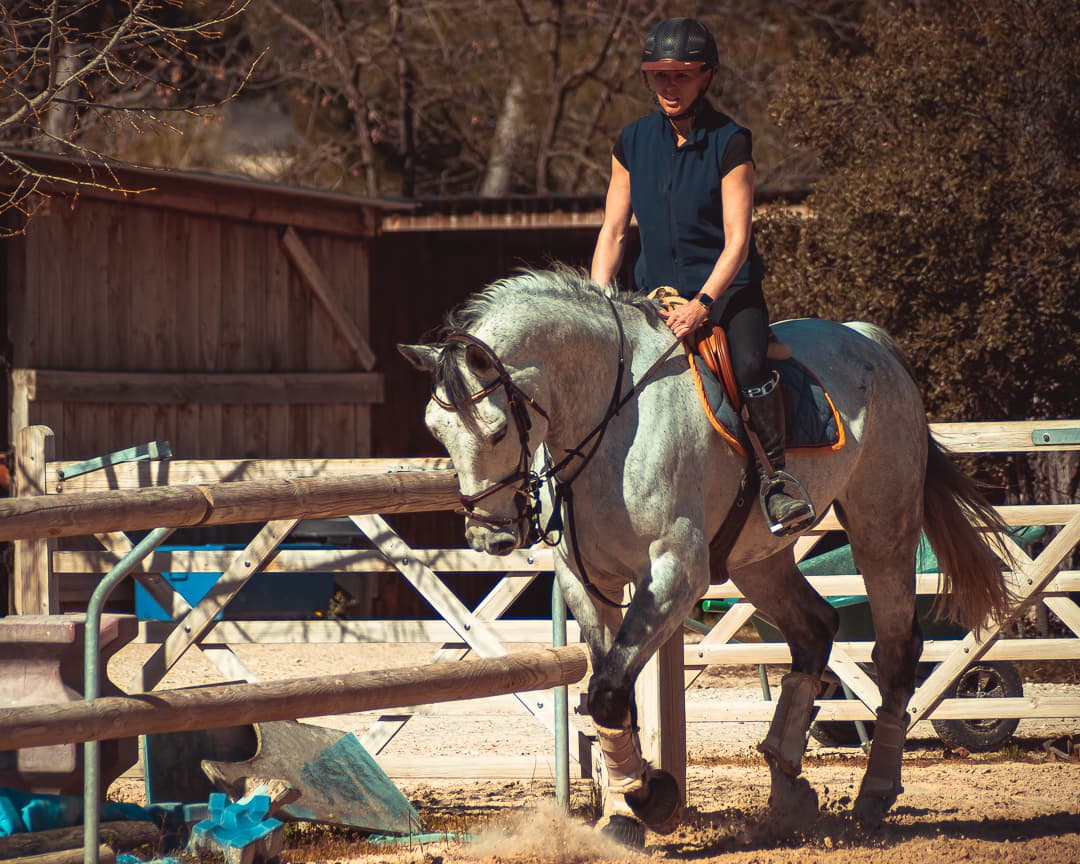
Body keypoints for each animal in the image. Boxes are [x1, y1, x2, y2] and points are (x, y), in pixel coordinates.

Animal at [399, 266, 1009, 846]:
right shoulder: (586, 581)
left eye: (498, 431)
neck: (611, 416)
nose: (490, 539)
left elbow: (609, 694)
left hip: (881, 525)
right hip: (757, 560)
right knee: (814, 629)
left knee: (897, 649)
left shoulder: (674, 571)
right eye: (435, 430)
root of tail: (866, 340)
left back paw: (874, 793)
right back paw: (786, 790)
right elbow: (610, 696)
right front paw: (626, 809)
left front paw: (651, 803)